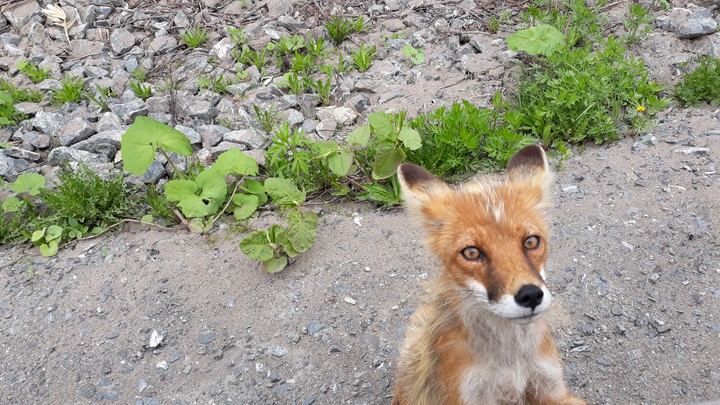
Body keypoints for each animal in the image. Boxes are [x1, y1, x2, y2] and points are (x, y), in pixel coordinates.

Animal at [392, 144, 587, 405]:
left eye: (531, 241)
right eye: (472, 252)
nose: (530, 295)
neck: (513, 360)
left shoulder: (550, 388)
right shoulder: (468, 396)